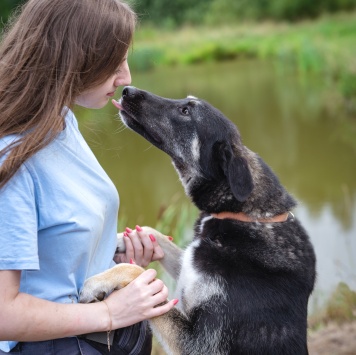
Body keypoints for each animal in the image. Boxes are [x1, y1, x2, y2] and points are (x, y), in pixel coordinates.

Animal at [80, 87, 314, 355]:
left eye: (185, 111)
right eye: (185, 102)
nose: (128, 89)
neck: (242, 215)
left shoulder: (200, 344)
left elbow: (140, 272)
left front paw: (97, 282)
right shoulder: (187, 265)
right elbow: (154, 234)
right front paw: (121, 238)